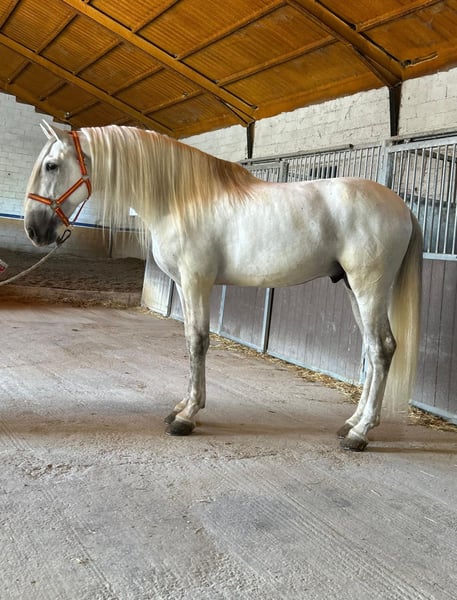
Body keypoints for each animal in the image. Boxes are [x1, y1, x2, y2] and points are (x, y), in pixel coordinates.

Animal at [23, 122, 422, 451]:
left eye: (51, 166)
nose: (34, 229)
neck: (181, 198)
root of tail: (401, 206)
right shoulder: (185, 285)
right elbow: (189, 340)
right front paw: (182, 407)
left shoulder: (196, 281)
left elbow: (198, 342)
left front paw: (187, 418)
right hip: (354, 288)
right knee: (372, 349)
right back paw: (351, 423)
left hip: (369, 287)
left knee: (382, 348)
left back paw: (360, 434)